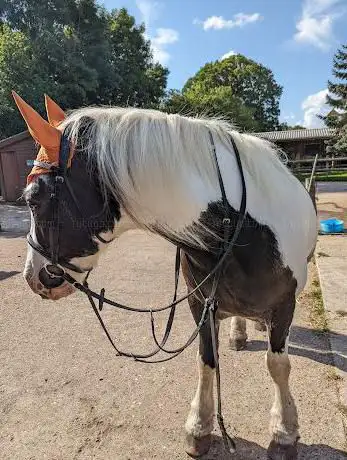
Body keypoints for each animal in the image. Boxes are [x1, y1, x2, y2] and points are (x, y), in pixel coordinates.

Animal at [13, 91, 318, 458]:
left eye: (33, 200)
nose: (34, 277)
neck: (239, 228)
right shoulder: (201, 301)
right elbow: (206, 360)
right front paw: (199, 425)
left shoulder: (284, 305)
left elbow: (278, 366)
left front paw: (284, 432)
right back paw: (239, 332)